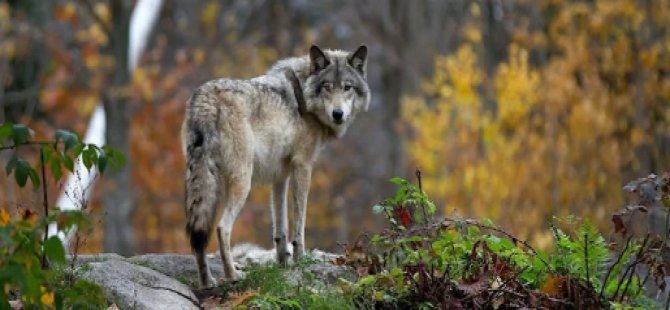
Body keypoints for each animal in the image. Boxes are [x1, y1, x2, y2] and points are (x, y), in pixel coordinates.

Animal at [182, 44, 372, 286]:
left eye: (347, 87)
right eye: (327, 87)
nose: (338, 114)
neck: (304, 97)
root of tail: (206, 98)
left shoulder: (280, 176)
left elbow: (280, 227)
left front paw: (283, 263)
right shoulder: (303, 166)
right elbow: (299, 224)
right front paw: (301, 259)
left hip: (205, 185)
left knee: (200, 235)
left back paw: (207, 282)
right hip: (241, 182)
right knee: (222, 228)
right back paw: (233, 275)